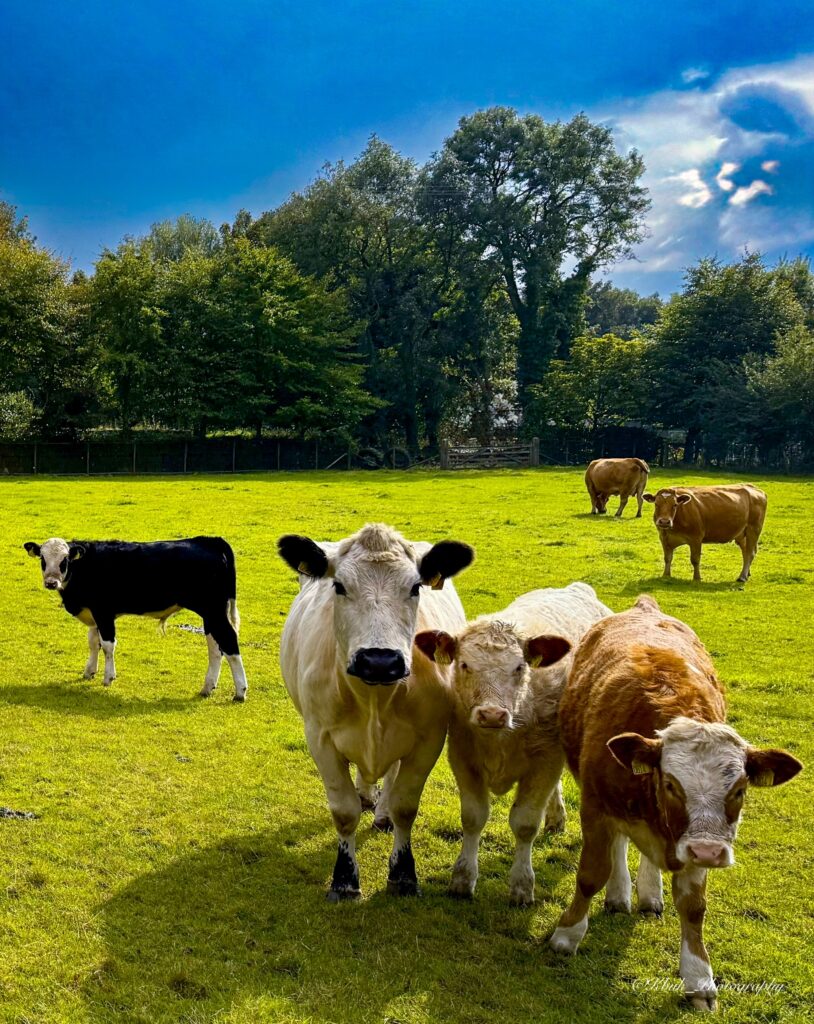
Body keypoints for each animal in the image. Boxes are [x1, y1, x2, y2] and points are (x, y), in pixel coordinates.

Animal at [24, 536, 248, 701]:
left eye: (65, 560)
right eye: (43, 559)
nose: (51, 583)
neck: (84, 568)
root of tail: (209, 540)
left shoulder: (104, 612)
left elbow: (107, 646)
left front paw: (108, 677)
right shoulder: (94, 614)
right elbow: (93, 642)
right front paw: (89, 671)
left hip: (213, 610)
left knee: (228, 640)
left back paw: (240, 692)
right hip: (211, 614)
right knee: (215, 646)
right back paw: (208, 687)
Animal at [277, 523, 474, 902]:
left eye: (415, 587)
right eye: (339, 586)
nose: (379, 660)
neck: (374, 701)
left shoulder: (429, 739)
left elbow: (405, 806)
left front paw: (403, 874)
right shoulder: (320, 738)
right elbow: (344, 812)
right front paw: (344, 879)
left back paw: (381, 813)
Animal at [415, 583, 611, 905]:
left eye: (519, 667)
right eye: (464, 664)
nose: (492, 714)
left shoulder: (546, 760)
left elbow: (525, 823)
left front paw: (522, 885)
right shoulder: (462, 756)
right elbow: (473, 818)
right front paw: (463, 878)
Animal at [549, 595, 802, 1011]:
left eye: (739, 789)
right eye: (670, 784)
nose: (709, 852)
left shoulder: (693, 843)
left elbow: (694, 906)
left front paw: (699, 977)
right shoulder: (596, 807)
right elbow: (591, 874)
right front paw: (566, 935)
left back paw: (649, 894)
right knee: (620, 847)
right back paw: (620, 894)